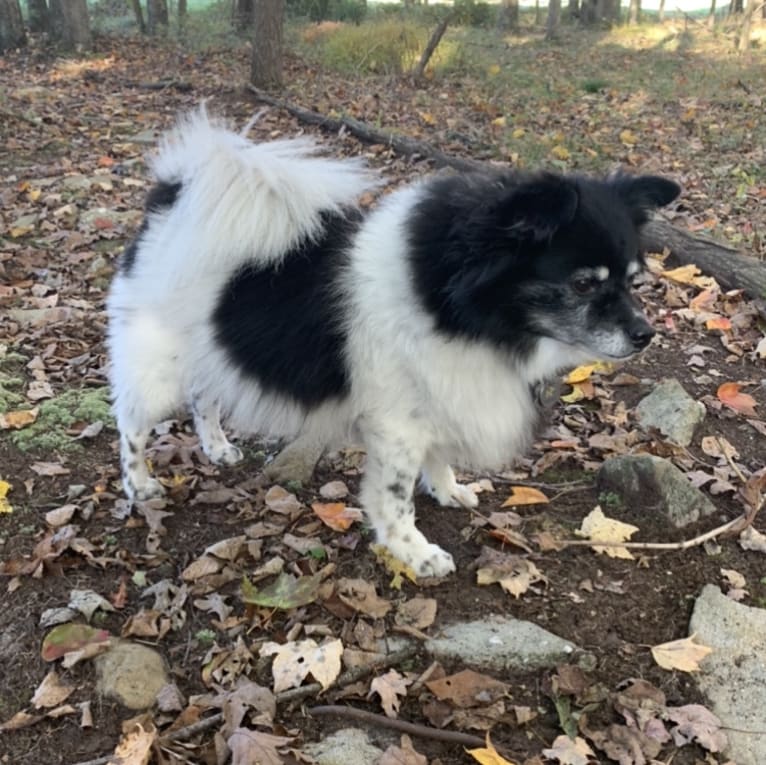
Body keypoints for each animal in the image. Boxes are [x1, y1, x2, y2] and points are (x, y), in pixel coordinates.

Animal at [105, 113, 680, 576]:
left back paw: (217, 447)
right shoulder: (397, 428)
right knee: (131, 424)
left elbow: (440, 458)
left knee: (203, 397)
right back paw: (139, 485)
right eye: (583, 284)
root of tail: (172, 196)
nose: (645, 334)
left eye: (633, 280)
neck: (447, 300)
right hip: (159, 367)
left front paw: (447, 491)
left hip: (209, 351)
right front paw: (414, 552)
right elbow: (396, 498)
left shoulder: (441, 398)